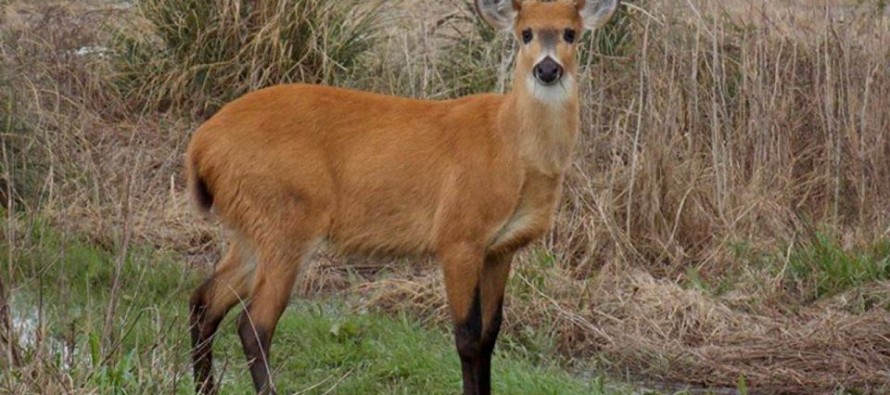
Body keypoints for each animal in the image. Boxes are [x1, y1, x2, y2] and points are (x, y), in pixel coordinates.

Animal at [187, 1, 616, 394]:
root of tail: (201, 144)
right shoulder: (458, 236)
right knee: (253, 323)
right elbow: (467, 336)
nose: (547, 69)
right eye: (526, 33)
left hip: (251, 228)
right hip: (287, 222)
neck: (510, 147)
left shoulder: (501, 248)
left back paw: (205, 387)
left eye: (570, 33)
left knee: (204, 300)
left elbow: (490, 335)